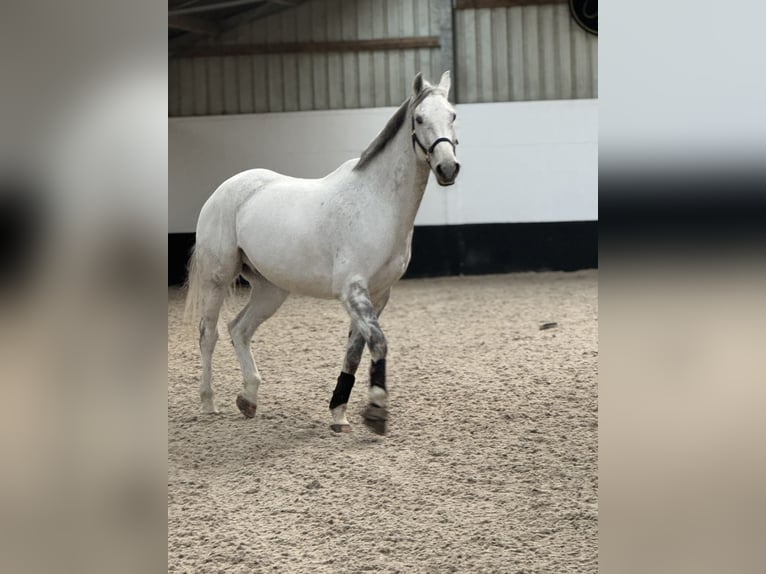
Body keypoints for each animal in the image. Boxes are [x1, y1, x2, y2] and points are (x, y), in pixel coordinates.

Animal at [184, 71, 460, 435]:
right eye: (419, 118)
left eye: (453, 115)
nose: (448, 168)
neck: (378, 202)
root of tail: (224, 190)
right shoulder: (352, 289)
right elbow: (378, 342)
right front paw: (376, 413)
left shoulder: (378, 295)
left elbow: (355, 351)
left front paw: (339, 414)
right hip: (218, 280)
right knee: (209, 334)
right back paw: (209, 402)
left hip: (271, 290)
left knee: (239, 329)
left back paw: (249, 399)